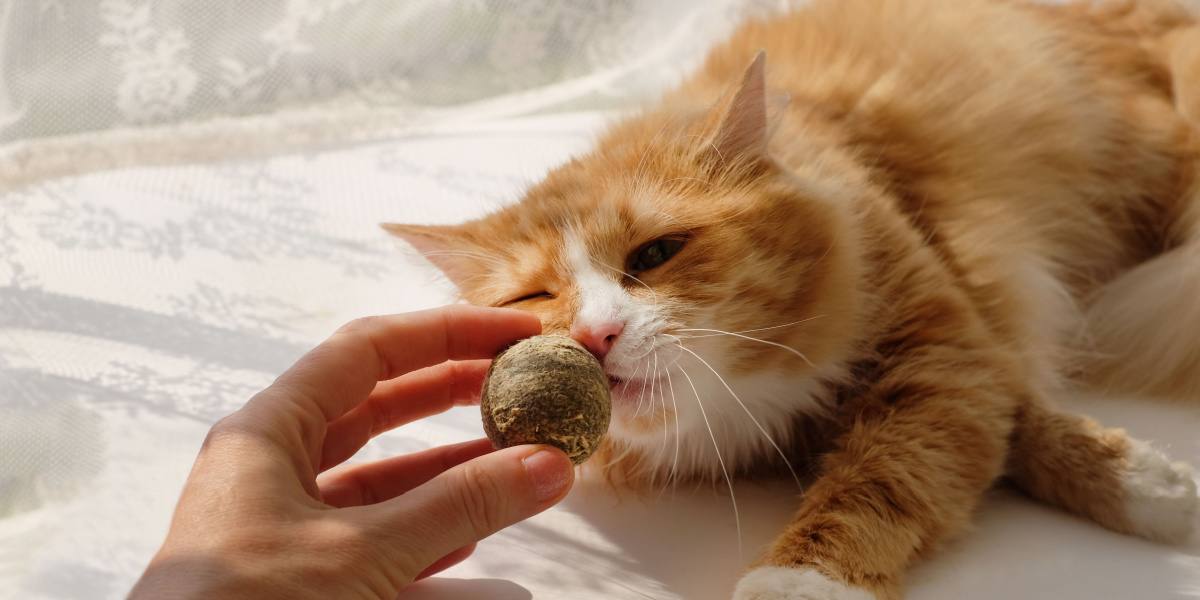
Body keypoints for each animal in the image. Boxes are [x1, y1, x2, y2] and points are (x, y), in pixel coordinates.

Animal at [384, 0, 1200, 597]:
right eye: (537, 295)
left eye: (655, 254)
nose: (593, 337)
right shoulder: (964, 361)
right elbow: (1000, 430)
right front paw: (1159, 487)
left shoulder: (943, 348)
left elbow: (904, 469)